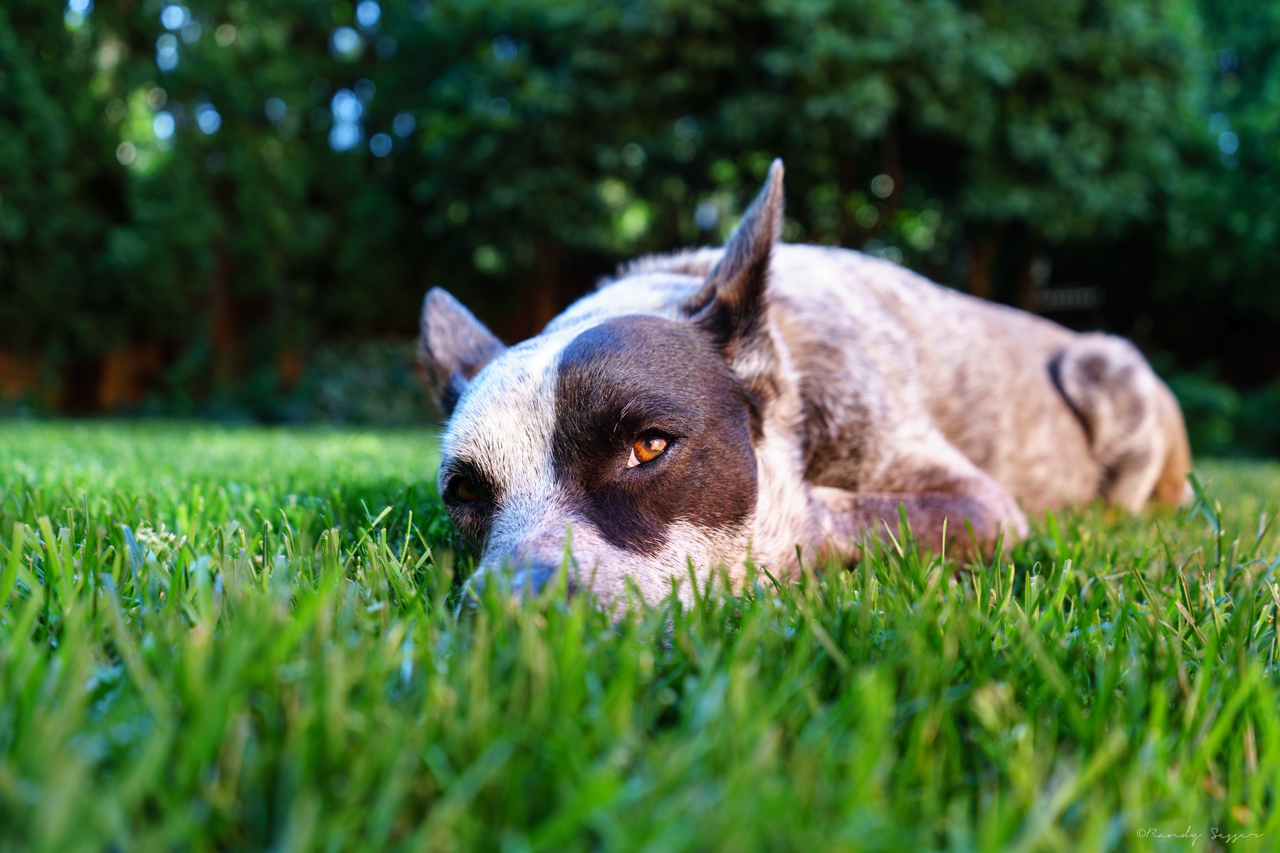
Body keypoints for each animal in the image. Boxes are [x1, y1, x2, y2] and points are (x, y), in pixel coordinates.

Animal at [419, 159, 1187, 604]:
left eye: (649, 445)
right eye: (465, 493)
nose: (513, 611)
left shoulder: (980, 505)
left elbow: (834, 518)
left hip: (1103, 367)